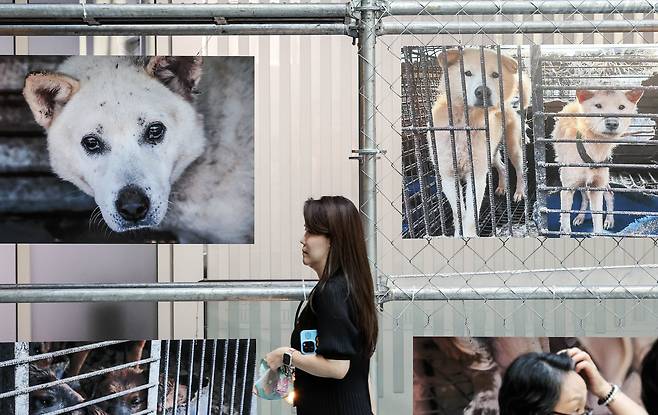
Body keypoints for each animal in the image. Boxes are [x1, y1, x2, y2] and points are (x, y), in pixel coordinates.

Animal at [430, 48, 528, 237]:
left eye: (495, 74)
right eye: (467, 73)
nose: (483, 92)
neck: (464, 124)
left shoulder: (476, 175)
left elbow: (470, 213)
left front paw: (469, 234)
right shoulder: (447, 175)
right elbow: (459, 212)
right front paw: (458, 233)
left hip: (512, 148)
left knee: (519, 170)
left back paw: (519, 192)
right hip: (492, 153)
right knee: (502, 167)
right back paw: (501, 187)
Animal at [548, 88, 640, 236]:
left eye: (621, 107)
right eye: (598, 106)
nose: (612, 123)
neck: (593, 150)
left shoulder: (597, 187)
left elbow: (597, 222)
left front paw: (600, 229)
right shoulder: (567, 190)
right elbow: (565, 223)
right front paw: (565, 231)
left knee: (609, 194)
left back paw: (609, 220)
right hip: (581, 184)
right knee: (585, 198)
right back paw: (580, 217)